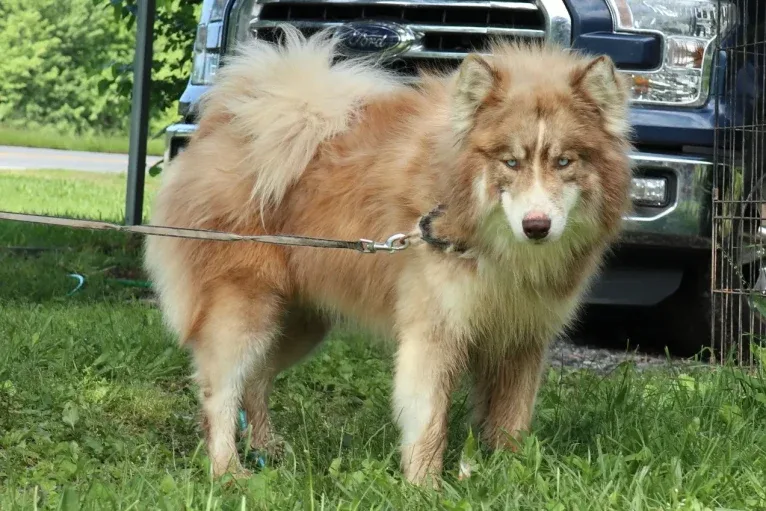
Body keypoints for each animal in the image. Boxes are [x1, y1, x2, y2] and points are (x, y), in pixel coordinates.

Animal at [144, 27, 632, 484]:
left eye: (564, 161)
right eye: (510, 162)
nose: (537, 226)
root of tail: (229, 120)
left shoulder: (521, 340)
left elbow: (511, 423)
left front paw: (509, 478)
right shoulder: (435, 332)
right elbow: (430, 420)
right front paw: (424, 486)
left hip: (299, 321)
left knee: (257, 380)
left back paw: (268, 451)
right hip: (244, 311)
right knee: (220, 393)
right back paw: (228, 470)